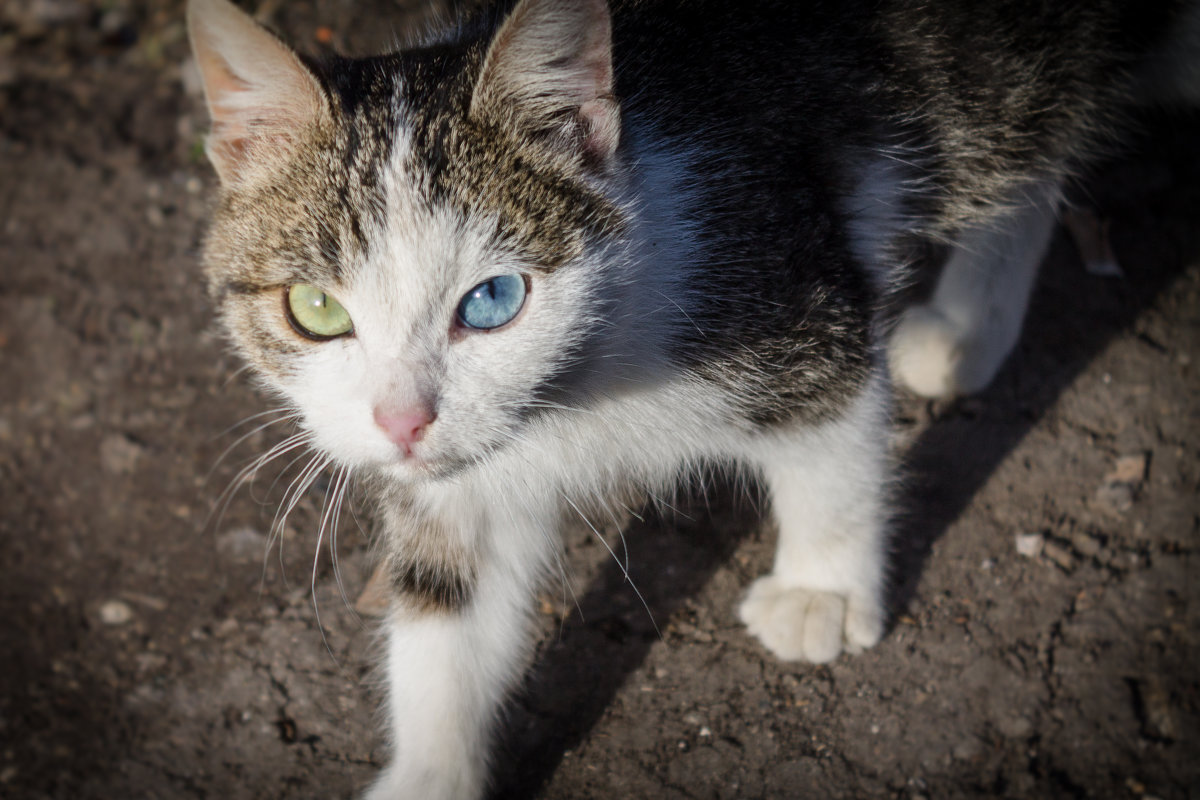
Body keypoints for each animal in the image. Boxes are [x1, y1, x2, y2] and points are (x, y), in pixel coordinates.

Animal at [187, 0, 1200, 796]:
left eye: (493, 299)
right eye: (317, 309)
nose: (403, 421)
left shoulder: (792, 290)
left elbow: (833, 429)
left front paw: (821, 588)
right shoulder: (459, 476)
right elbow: (447, 596)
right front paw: (431, 772)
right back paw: (969, 324)